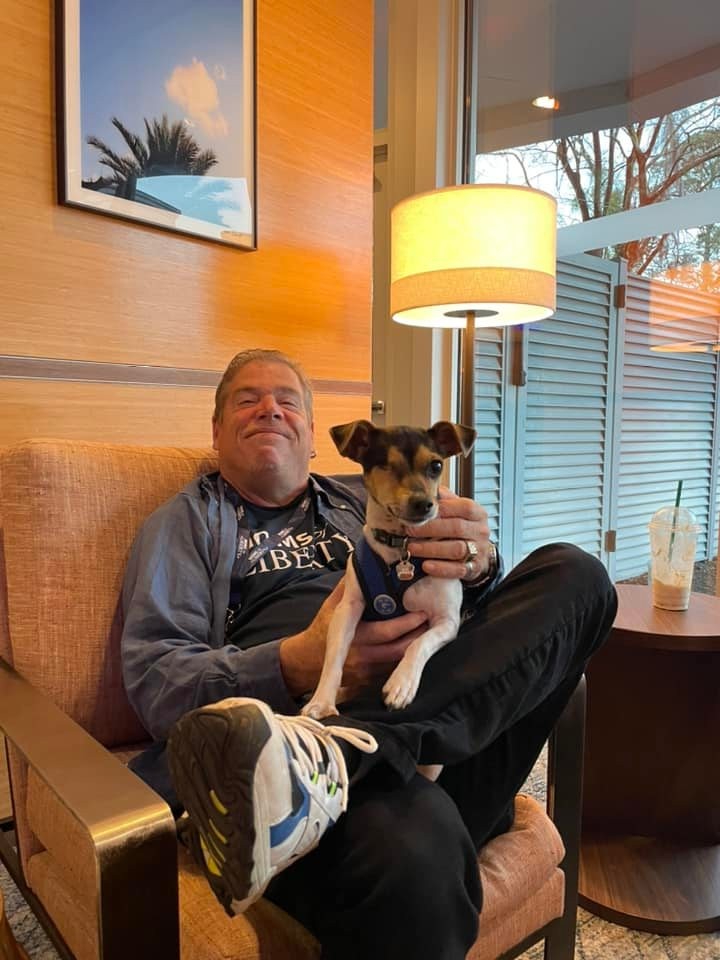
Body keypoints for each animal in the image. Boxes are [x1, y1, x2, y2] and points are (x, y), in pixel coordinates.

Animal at [302, 419, 476, 719]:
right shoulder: (347, 609)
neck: (401, 545)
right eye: (385, 465)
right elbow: (334, 656)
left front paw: (401, 683)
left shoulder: (447, 622)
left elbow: (419, 643)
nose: (423, 503)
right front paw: (321, 701)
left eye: (436, 465)